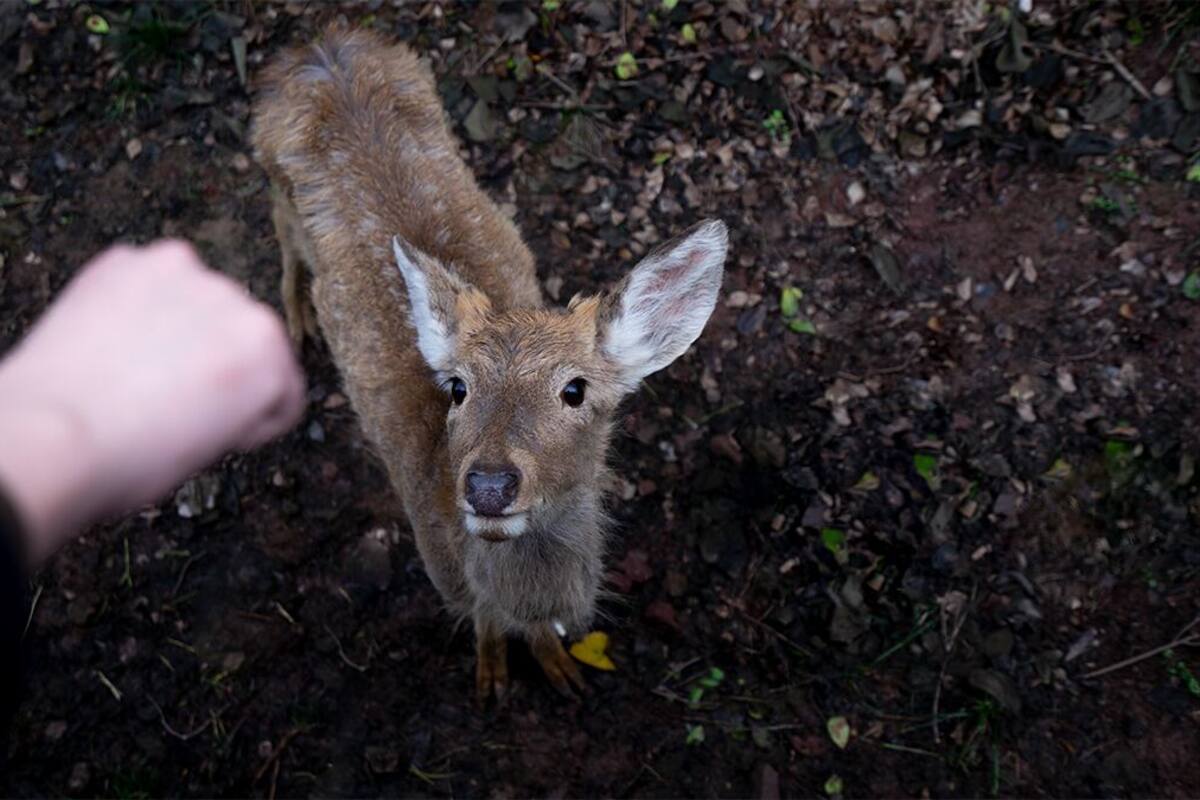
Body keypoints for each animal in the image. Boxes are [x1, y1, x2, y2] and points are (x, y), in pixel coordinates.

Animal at [251, 26, 727, 703]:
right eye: (457, 387)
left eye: (576, 389)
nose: (489, 486)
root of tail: (317, 48)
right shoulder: (444, 574)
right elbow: (484, 627)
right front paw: (492, 680)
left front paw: (561, 672)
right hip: (275, 182)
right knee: (283, 236)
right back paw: (296, 321)